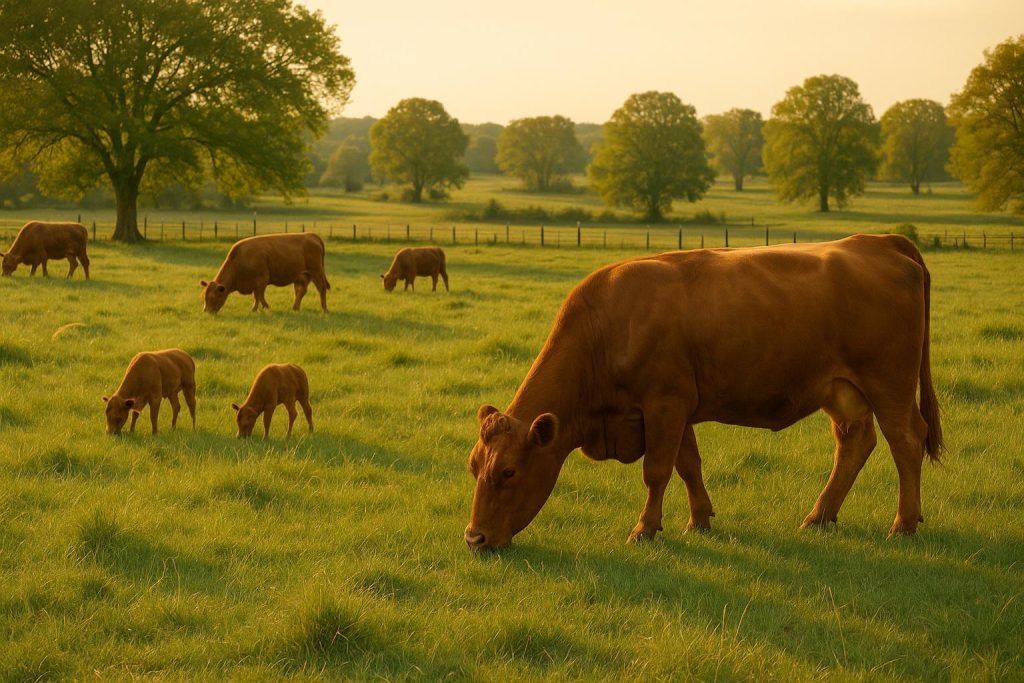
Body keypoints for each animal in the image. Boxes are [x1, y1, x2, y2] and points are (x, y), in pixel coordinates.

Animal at [200, 233, 330, 313]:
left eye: (213, 297)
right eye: (204, 296)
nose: (206, 312)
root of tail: (310, 234)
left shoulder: (262, 279)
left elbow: (259, 296)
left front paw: (261, 308)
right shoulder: (255, 283)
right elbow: (258, 295)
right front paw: (259, 308)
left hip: (316, 272)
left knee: (322, 289)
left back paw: (324, 309)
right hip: (301, 276)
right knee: (300, 291)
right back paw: (295, 308)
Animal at [464, 234, 943, 551]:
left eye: (508, 471)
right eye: (473, 467)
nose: (474, 537)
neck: (606, 328)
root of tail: (878, 241)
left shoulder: (664, 403)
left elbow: (657, 471)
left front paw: (645, 528)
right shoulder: (676, 409)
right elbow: (688, 465)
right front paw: (699, 520)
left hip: (889, 385)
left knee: (906, 441)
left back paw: (903, 523)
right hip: (843, 391)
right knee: (855, 443)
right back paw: (819, 516)